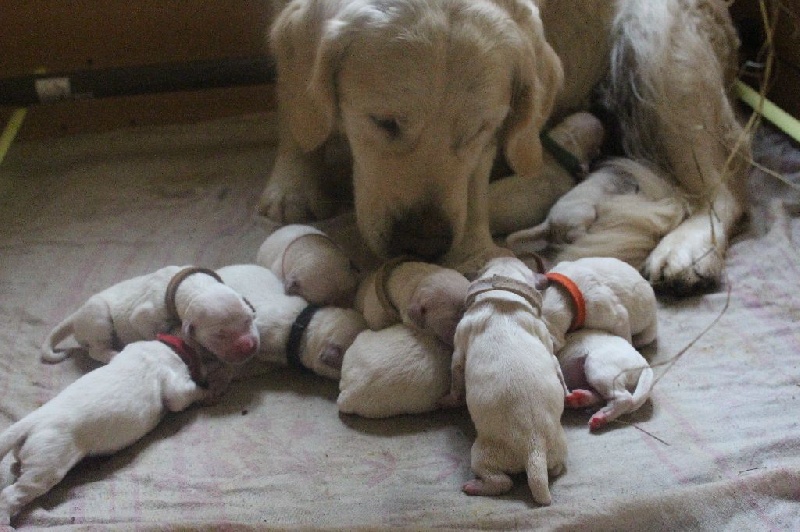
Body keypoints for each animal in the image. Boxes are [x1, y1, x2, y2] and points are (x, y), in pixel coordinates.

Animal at [0, 336, 211, 524]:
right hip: (46, 466)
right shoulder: (174, 387)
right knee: (11, 495)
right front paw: (207, 391)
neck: (164, 347)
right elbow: (184, 395)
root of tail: (30, 421)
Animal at [40, 266, 260, 366]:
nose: (248, 346)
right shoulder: (143, 316)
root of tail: (76, 316)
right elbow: (149, 331)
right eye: (218, 335)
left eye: (249, 319)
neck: (191, 285)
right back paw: (114, 354)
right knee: (95, 350)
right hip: (98, 317)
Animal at [260, 0, 752, 296]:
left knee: (729, 182)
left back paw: (688, 248)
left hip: (662, 44)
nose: (423, 242)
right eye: (383, 121)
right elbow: (295, 100)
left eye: (480, 129)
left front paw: (474, 250)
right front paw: (293, 184)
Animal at [444, 256, 568, 504]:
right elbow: (554, 360)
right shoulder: (542, 333)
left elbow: (456, 374)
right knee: (556, 468)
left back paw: (475, 486)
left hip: (484, 453)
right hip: (558, 447)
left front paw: (449, 399)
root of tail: (535, 449)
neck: (502, 298)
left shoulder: (460, 344)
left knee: (502, 481)